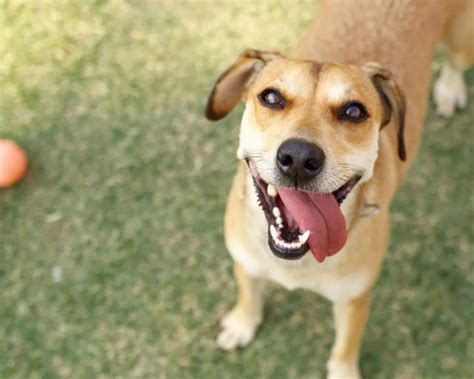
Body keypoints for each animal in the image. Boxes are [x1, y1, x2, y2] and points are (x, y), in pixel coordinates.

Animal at [206, 1, 472, 378]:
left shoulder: (355, 297)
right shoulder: (246, 260)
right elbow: (249, 293)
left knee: (456, 61)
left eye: (353, 111)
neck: (297, 262)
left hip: (464, 36)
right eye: (271, 97)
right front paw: (243, 324)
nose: (298, 157)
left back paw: (450, 88)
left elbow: (346, 346)